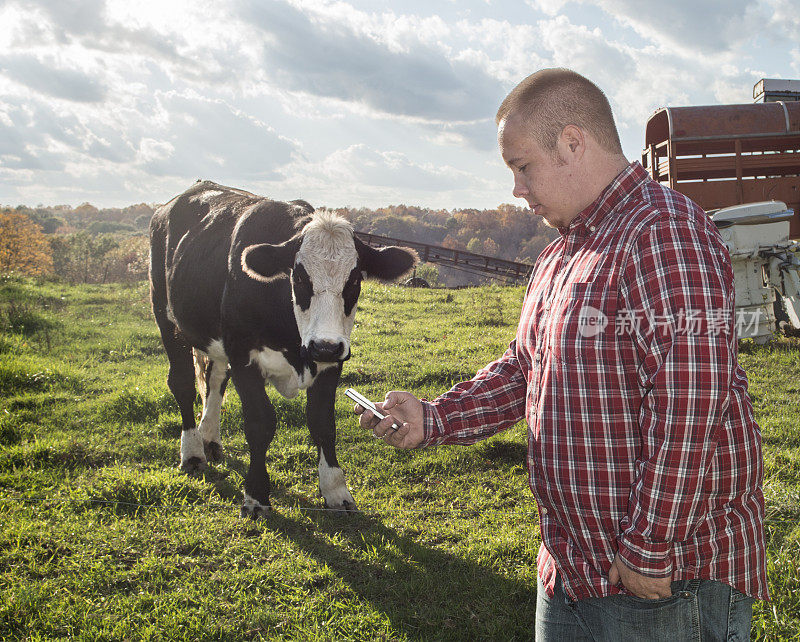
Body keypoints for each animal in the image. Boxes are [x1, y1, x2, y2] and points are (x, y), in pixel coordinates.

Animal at [148, 180, 418, 516]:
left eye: (355, 279)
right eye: (299, 277)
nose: (325, 346)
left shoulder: (331, 363)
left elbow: (323, 424)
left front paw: (335, 490)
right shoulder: (243, 356)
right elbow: (260, 424)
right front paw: (255, 495)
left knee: (214, 380)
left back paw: (210, 439)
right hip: (167, 318)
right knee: (183, 384)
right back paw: (192, 451)